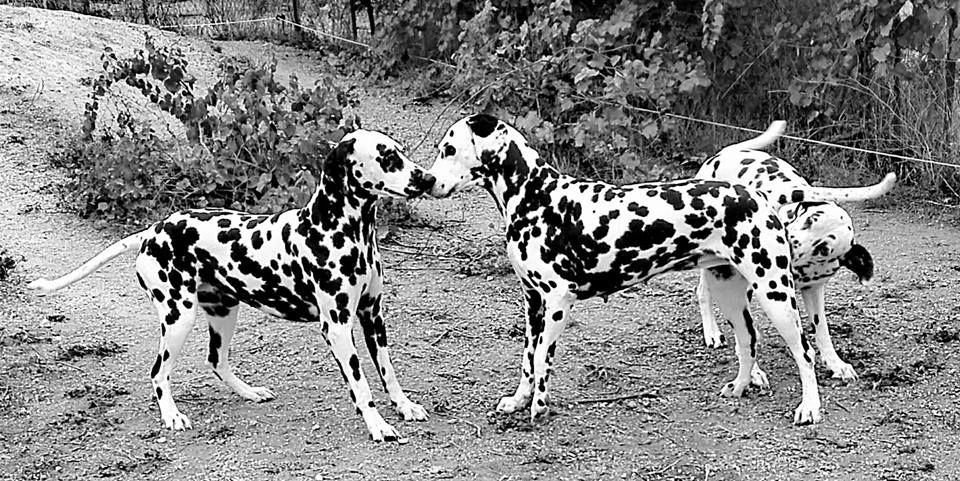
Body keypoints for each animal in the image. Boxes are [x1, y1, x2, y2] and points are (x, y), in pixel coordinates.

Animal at [28, 129, 435, 442]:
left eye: (400, 151)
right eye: (387, 157)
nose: (428, 179)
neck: (338, 228)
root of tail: (153, 231)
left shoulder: (373, 317)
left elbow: (388, 372)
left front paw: (404, 406)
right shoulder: (336, 326)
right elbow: (361, 384)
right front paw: (378, 425)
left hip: (223, 313)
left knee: (216, 360)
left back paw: (249, 392)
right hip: (179, 318)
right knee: (159, 372)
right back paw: (171, 415)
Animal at [696, 122, 879, 383]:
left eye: (823, 249)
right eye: (809, 218)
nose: (785, 241)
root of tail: (727, 152)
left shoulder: (814, 290)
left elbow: (821, 329)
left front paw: (835, 363)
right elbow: (746, 335)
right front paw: (753, 372)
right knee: (703, 291)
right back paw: (711, 331)